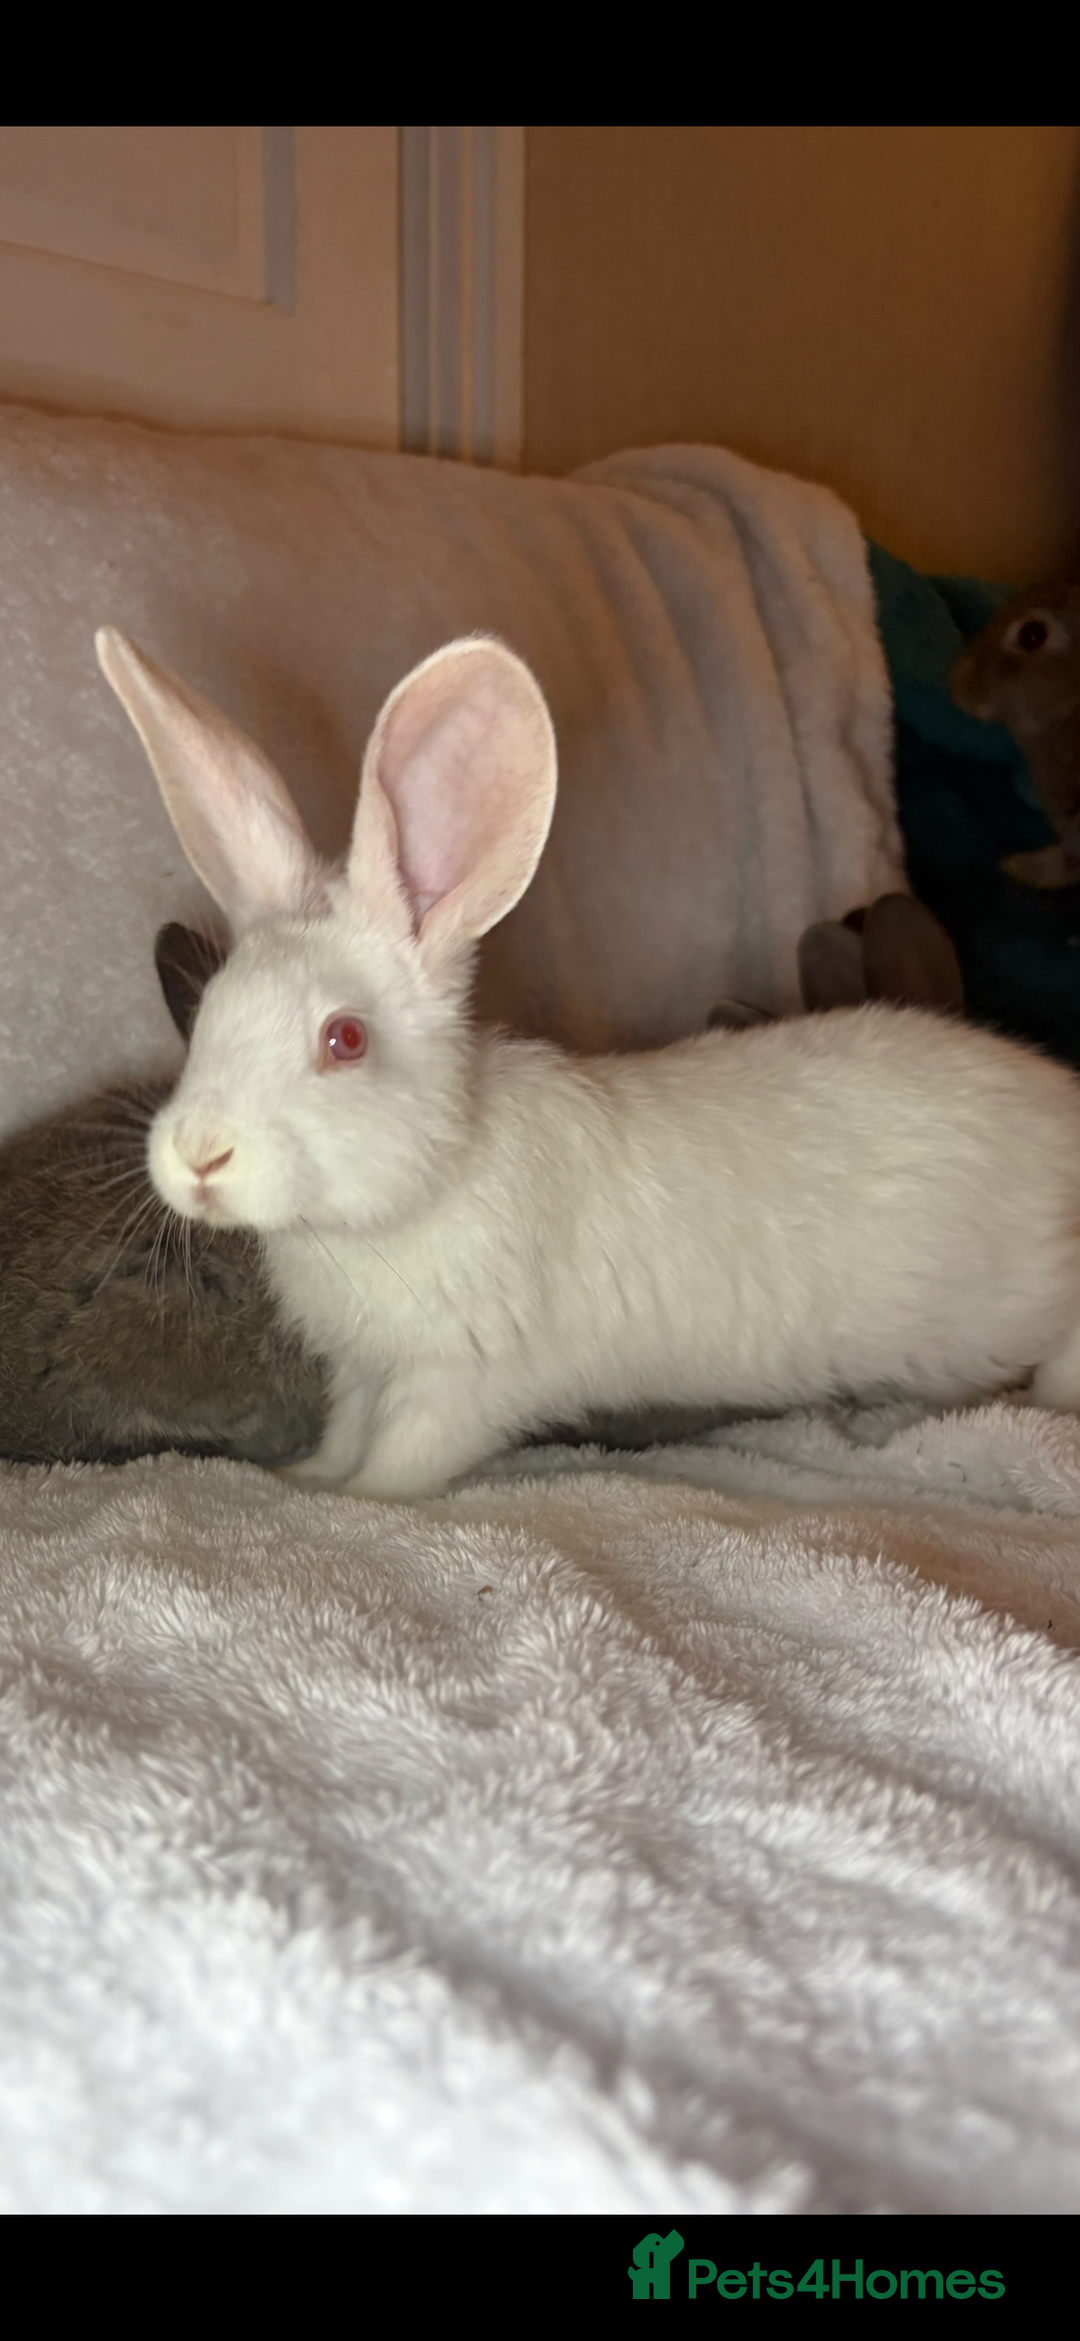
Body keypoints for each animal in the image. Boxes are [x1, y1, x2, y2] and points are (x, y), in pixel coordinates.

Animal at [95, 622, 1080, 1504]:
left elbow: (408, 1453)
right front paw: (306, 1476)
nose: (198, 1156)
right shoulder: (364, 1368)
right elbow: (346, 1427)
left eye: (345, 1039)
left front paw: (359, 1501)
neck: (431, 1178)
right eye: (208, 1012)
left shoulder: (463, 1376)